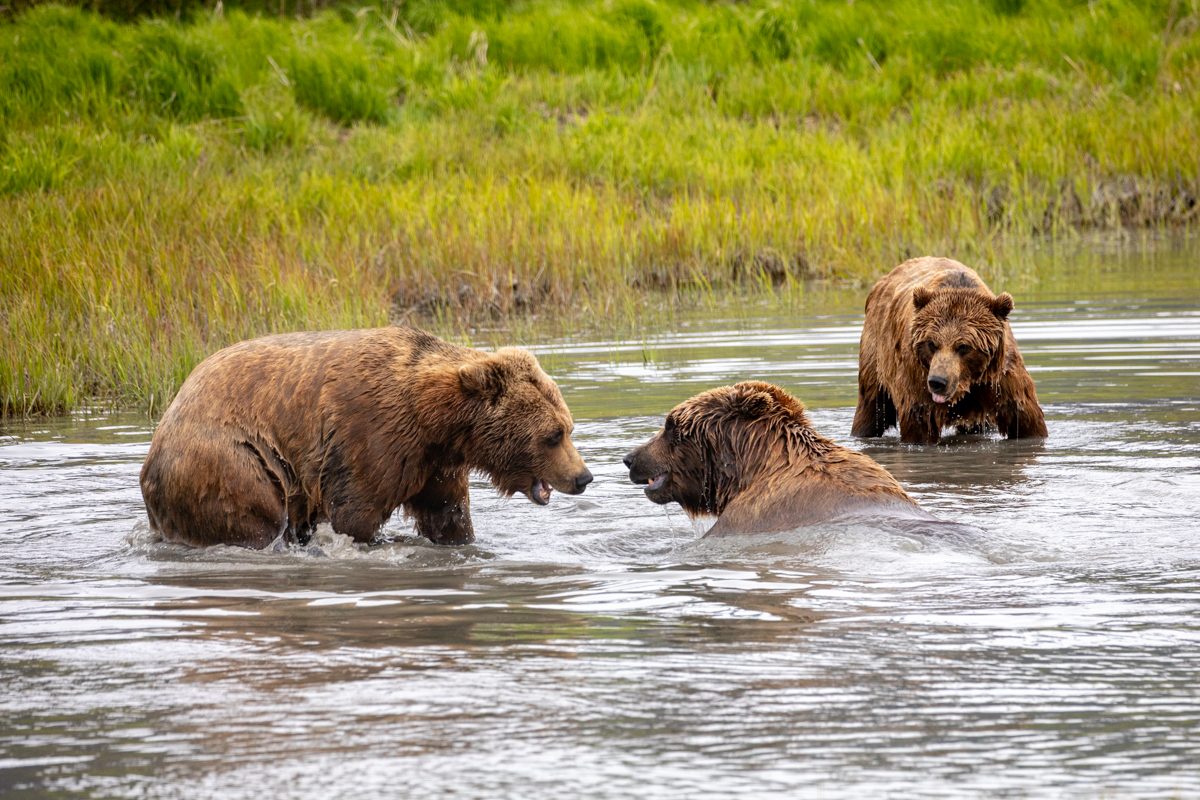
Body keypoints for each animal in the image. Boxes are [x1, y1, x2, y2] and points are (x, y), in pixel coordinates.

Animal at [140, 327, 593, 549]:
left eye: (568, 428)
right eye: (553, 435)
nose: (583, 477)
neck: (438, 420)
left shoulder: (432, 461)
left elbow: (447, 515)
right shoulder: (370, 436)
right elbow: (354, 514)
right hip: (231, 462)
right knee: (255, 518)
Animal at [851, 256, 1047, 445]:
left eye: (964, 346)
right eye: (931, 344)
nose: (938, 381)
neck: (967, 383)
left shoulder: (999, 379)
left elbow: (1025, 418)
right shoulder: (917, 378)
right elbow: (921, 424)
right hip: (876, 356)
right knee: (871, 406)